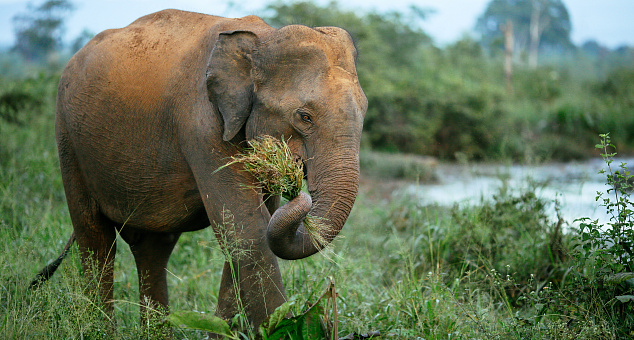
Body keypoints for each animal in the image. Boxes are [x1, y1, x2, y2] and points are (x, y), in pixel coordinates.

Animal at [44, 9, 366, 330]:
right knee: (95, 238)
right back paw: (97, 327)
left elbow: (250, 228)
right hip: (69, 138)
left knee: (153, 247)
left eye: (364, 112)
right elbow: (247, 230)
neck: (263, 38)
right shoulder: (202, 124)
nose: (299, 192)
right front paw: (280, 330)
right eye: (305, 117)